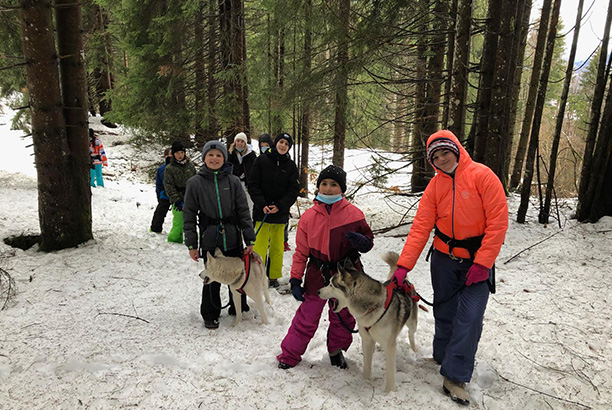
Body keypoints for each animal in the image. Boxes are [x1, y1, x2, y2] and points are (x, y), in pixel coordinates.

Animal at [318, 251, 418, 392]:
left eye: (331, 285)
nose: (318, 291)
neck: (372, 308)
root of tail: (403, 281)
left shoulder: (390, 345)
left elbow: (390, 372)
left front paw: (390, 391)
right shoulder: (366, 339)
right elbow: (367, 364)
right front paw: (366, 381)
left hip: (412, 322)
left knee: (411, 333)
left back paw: (414, 350)